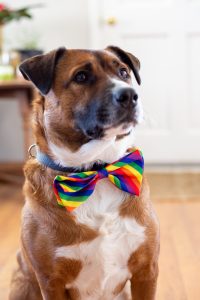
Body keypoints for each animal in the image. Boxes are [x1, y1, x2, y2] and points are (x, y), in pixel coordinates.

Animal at [9, 46, 159, 300]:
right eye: (81, 76)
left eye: (123, 72)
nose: (130, 95)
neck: (95, 170)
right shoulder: (52, 282)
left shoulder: (146, 271)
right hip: (22, 284)